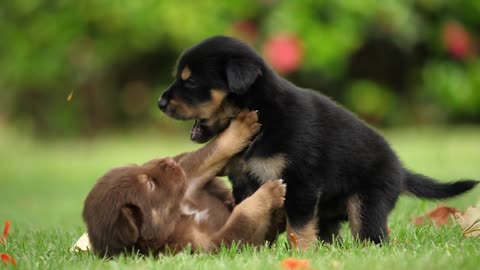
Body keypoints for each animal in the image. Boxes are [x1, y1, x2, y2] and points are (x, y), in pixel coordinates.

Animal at [83, 111, 286, 258]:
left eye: (136, 167)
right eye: (150, 185)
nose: (169, 161)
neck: (176, 216)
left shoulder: (188, 182)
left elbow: (211, 151)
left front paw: (242, 125)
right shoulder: (213, 245)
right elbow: (241, 217)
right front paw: (270, 192)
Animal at [159, 35, 478, 249]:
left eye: (190, 81)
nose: (160, 103)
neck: (263, 114)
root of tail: (401, 171)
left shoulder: (301, 182)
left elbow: (298, 226)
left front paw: (300, 253)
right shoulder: (244, 181)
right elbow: (253, 212)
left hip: (368, 202)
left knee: (372, 236)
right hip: (329, 213)